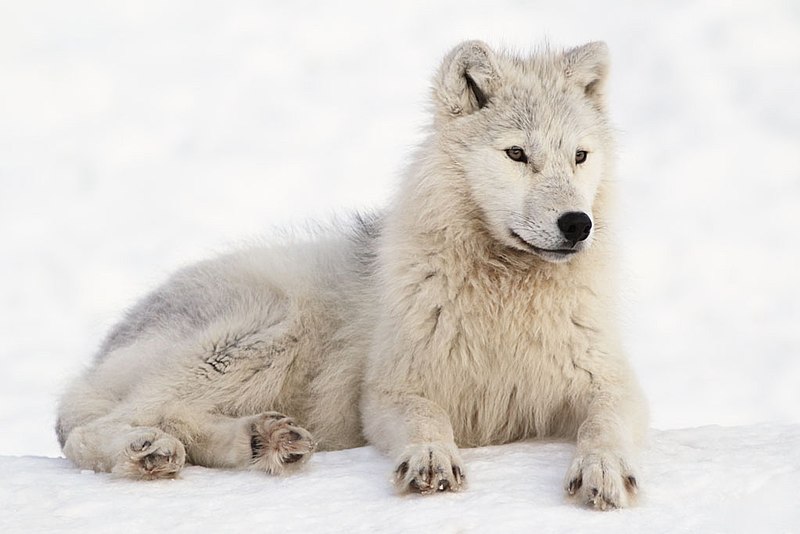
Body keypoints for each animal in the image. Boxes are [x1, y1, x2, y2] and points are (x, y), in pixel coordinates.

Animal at [56, 40, 648, 510]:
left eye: (580, 156)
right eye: (517, 154)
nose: (577, 224)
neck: (508, 294)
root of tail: (101, 353)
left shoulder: (610, 385)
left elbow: (604, 426)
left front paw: (603, 471)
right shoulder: (390, 391)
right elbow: (426, 420)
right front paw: (429, 457)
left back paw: (264, 440)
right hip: (269, 329)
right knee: (94, 428)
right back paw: (149, 452)